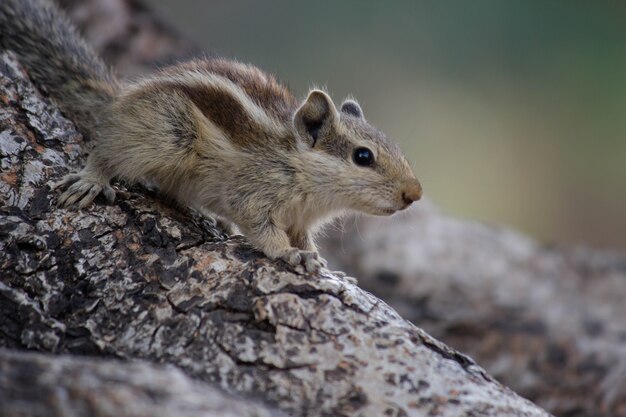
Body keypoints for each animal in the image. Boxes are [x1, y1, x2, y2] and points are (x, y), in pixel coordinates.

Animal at [0, 0, 422, 272]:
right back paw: (93, 178)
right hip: (168, 133)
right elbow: (263, 229)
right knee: (108, 150)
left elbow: (303, 237)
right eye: (363, 156)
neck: (300, 168)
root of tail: (120, 99)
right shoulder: (254, 194)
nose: (413, 194)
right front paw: (288, 255)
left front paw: (319, 260)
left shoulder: (301, 220)